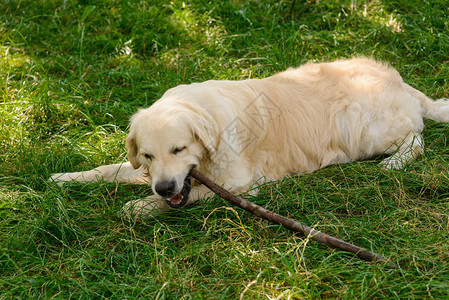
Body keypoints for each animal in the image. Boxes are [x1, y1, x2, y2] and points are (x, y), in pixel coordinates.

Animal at [50, 58, 448, 218]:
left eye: (179, 149)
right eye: (147, 156)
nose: (163, 187)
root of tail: (399, 80)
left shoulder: (241, 185)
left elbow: (191, 195)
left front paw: (140, 207)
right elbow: (109, 170)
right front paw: (66, 178)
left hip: (365, 129)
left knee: (416, 140)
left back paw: (395, 162)